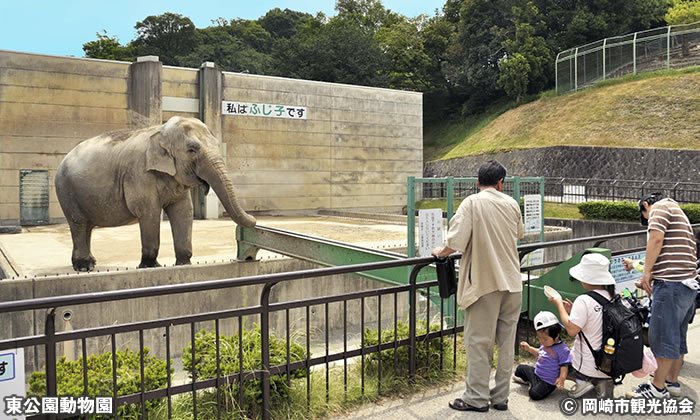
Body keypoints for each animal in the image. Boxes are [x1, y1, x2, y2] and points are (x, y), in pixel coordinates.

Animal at [55, 115, 258, 272]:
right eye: (192, 150)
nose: (255, 219)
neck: (160, 131)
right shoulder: (139, 173)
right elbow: (149, 212)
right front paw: (150, 267)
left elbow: (183, 211)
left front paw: (184, 264)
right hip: (66, 191)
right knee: (79, 224)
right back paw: (84, 267)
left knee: (86, 227)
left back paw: (89, 263)